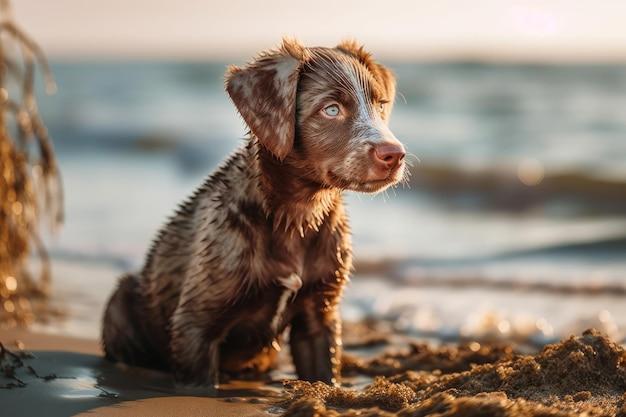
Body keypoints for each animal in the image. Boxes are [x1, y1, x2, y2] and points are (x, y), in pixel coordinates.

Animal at [101, 39, 404, 386]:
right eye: (331, 109)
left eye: (380, 106)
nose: (395, 155)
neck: (296, 215)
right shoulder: (194, 325)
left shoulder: (320, 316)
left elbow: (324, 374)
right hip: (121, 301)